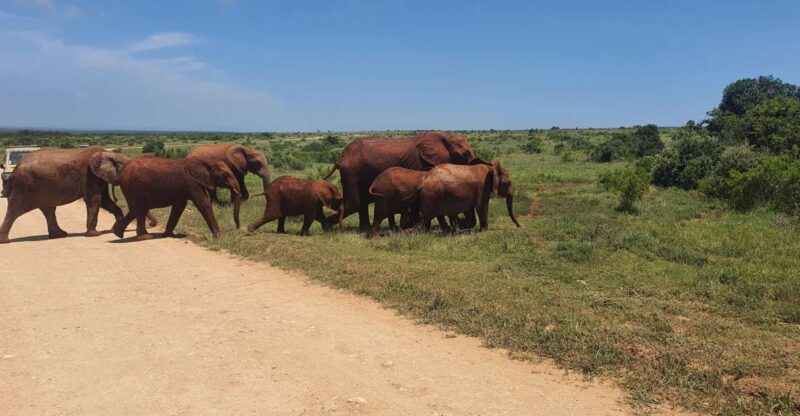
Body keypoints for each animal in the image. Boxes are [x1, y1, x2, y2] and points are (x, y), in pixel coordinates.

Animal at [0, 147, 134, 244]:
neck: (106, 153)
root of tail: (14, 171)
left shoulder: (98, 177)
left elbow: (105, 201)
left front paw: (116, 228)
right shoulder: (90, 175)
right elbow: (95, 199)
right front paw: (95, 235)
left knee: (49, 210)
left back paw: (60, 235)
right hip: (23, 187)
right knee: (13, 211)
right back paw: (5, 241)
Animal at [91, 155, 241, 241]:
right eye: (225, 175)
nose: (238, 228)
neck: (205, 161)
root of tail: (121, 172)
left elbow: (178, 208)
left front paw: (169, 236)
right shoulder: (192, 183)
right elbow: (203, 204)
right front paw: (219, 237)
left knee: (138, 210)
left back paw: (118, 233)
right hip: (132, 187)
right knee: (138, 209)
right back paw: (143, 237)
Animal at [322, 130, 476, 231]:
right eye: (464, 154)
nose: (465, 224)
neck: (447, 136)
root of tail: (340, 158)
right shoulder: (419, 163)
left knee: (361, 204)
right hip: (351, 173)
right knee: (354, 204)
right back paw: (328, 227)